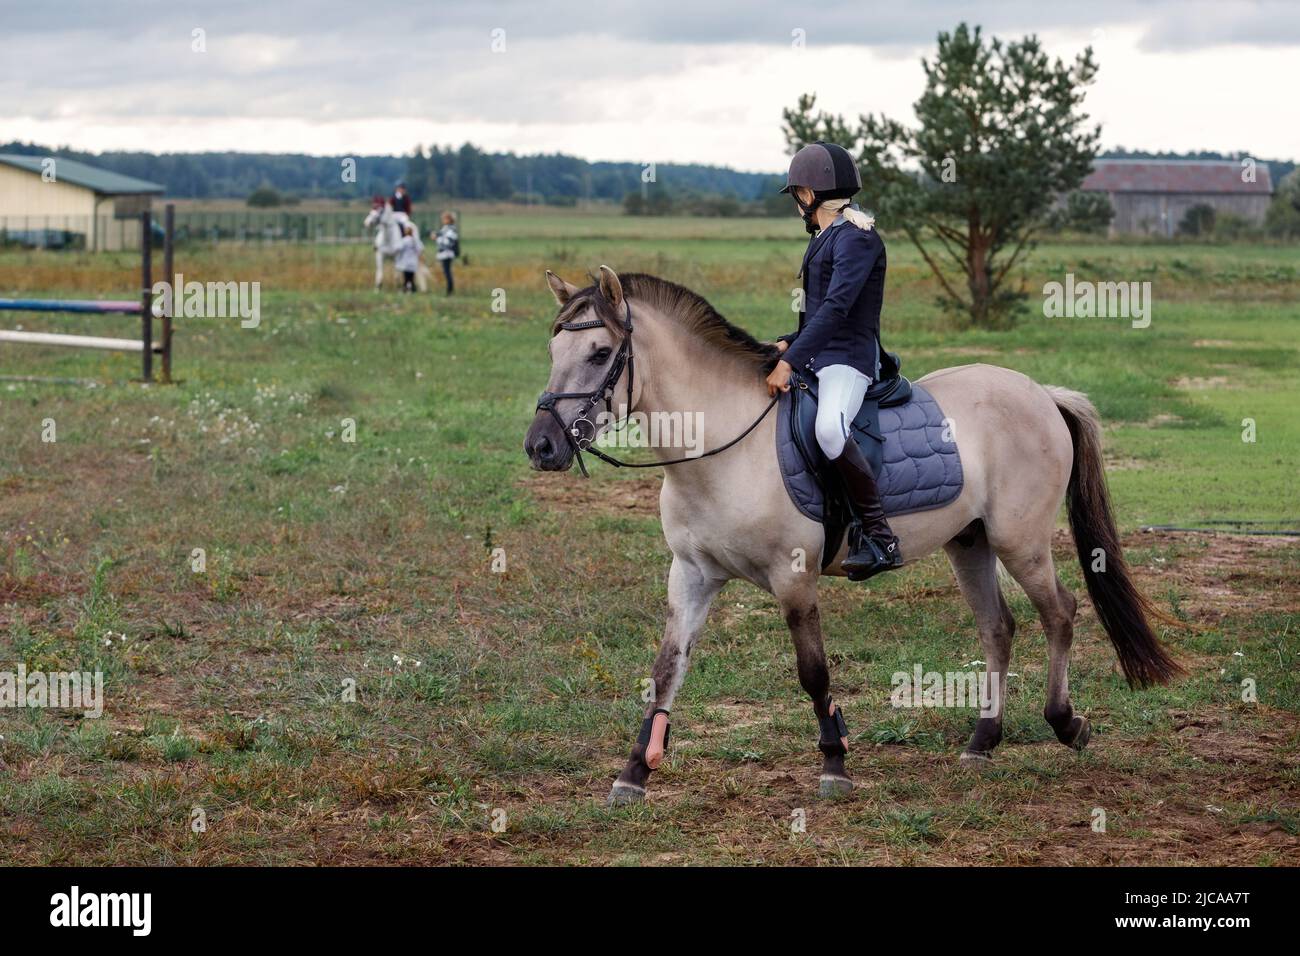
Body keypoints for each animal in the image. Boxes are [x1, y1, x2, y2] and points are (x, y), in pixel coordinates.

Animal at [522, 264, 1185, 806]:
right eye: (552, 348)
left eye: (600, 352)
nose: (541, 447)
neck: (721, 447)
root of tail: (1041, 392)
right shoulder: (690, 575)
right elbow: (666, 670)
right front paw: (633, 774)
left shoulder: (793, 577)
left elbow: (813, 673)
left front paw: (835, 765)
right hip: (969, 542)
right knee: (999, 627)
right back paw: (983, 739)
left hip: (1019, 542)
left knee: (1060, 613)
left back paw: (1066, 722)